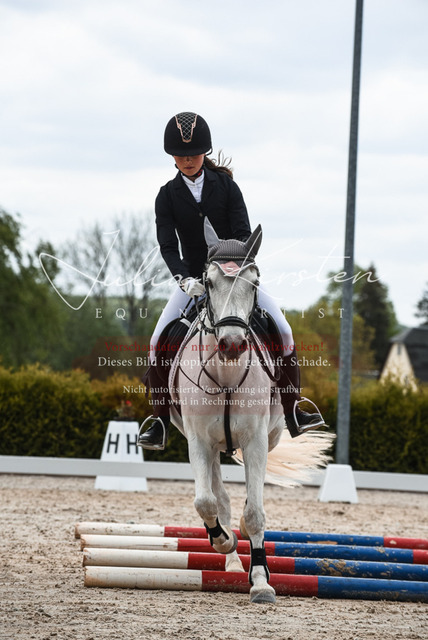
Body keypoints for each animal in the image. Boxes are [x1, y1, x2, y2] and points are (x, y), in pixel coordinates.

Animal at [168, 219, 332, 604]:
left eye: (254, 282)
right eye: (209, 282)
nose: (232, 344)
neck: (227, 373)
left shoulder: (255, 440)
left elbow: (256, 513)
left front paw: (261, 582)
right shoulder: (198, 442)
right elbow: (205, 502)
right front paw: (223, 540)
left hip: (269, 437)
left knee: (246, 497)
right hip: (211, 447)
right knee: (220, 496)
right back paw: (229, 555)